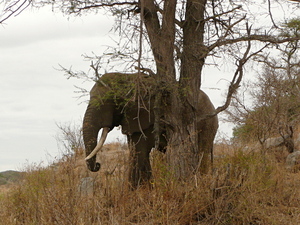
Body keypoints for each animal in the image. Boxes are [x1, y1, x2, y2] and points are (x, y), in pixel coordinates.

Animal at [82, 72, 218, 188]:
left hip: (208, 124)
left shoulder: (148, 114)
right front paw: (146, 190)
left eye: (110, 101)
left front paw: (135, 193)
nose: (98, 165)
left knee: (202, 152)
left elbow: (140, 150)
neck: (129, 77)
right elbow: (136, 149)